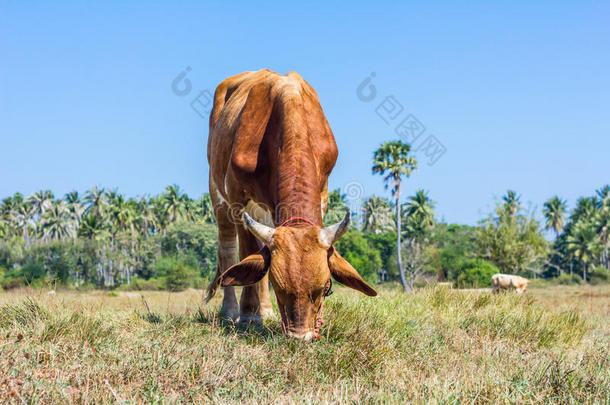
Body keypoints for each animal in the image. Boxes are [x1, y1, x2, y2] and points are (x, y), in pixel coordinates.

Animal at [205, 68, 376, 338]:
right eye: (278, 285)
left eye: (325, 287)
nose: (300, 337)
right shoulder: (238, 199)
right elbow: (247, 254)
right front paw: (249, 314)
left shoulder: (323, 191)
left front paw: (260, 312)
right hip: (218, 195)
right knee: (228, 252)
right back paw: (232, 310)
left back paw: (266, 310)